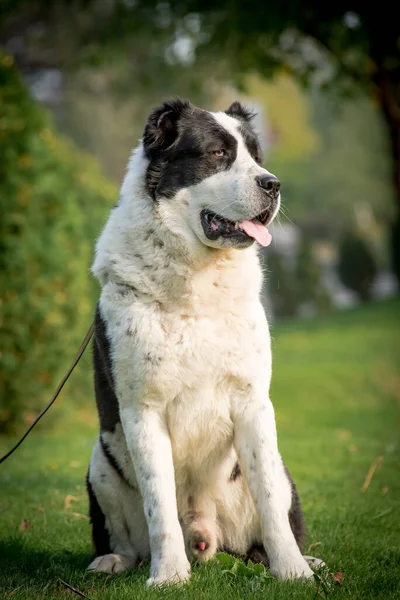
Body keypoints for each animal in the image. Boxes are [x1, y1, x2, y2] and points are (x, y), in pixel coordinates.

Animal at [85, 99, 322, 584]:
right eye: (217, 154)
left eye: (256, 156)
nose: (273, 184)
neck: (196, 280)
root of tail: (207, 535)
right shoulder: (142, 411)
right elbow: (159, 505)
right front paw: (169, 576)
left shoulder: (253, 403)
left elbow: (270, 502)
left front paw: (292, 571)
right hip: (99, 462)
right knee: (125, 536)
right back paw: (113, 560)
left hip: (278, 470)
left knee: (266, 521)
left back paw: (301, 559)